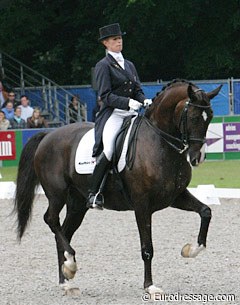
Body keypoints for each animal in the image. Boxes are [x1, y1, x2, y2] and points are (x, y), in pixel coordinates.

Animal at [14, 78, 222, 294]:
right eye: (194, 117)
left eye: (210, 117)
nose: (197, 157)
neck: (160, 143)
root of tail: (48, 134)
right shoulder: (142, 205)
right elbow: (147, 248)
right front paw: (150, 286)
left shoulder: (176, 196)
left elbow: (206, 212)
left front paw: (190, 250)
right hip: (57, 194)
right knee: (51, 220)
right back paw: (70, 265)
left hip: (78, 204)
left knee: (63, 232)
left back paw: (66, 281)